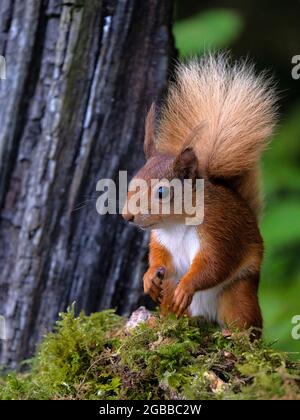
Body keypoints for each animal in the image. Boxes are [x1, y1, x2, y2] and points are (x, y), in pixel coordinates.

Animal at [121, 55, 276, 338]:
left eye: (162, 192)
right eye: (132, 181)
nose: (127, 216)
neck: (176, 223)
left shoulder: (219, 230)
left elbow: (213, 264)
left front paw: (188, 286)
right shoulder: (161, 241)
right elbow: (159, 259)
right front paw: (149, 277)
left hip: (238, 293)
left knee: (247, 320)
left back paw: (236, 335)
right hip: (170, 293)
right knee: (175, 308)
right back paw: (163, 321)